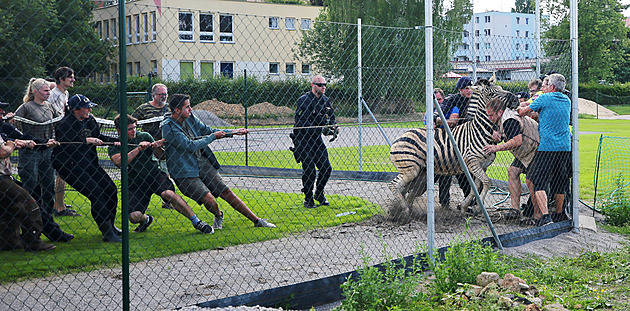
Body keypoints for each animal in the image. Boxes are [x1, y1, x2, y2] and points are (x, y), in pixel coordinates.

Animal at [390, 84, 520, 218]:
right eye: (491, 94)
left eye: (501, 88)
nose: (516, 99)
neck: (481, 131)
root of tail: (401, 136)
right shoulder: (472, 162)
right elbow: (487, 182)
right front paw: (478, 207)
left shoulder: (482, 165)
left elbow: (475, 187)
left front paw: (464, 206)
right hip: (411, 169)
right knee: (394, 185)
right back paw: (404, 210)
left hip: (420, 172)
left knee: (407, 189)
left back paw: (400, 210)